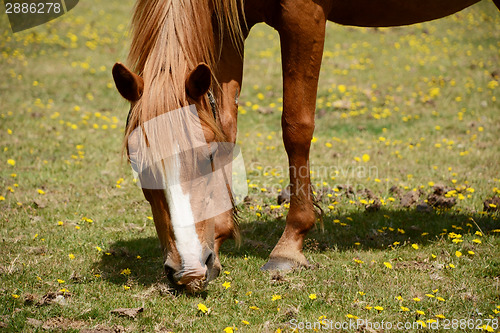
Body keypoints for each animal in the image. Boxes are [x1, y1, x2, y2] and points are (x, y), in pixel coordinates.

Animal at [113, 0, 500, 290]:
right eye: (137, 165)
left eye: (203, 157)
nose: (188, 271)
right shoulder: (229, 30)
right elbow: (226, 124)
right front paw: (219, 240)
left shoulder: (303, 14)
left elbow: (295, 126)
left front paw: (289, 246)